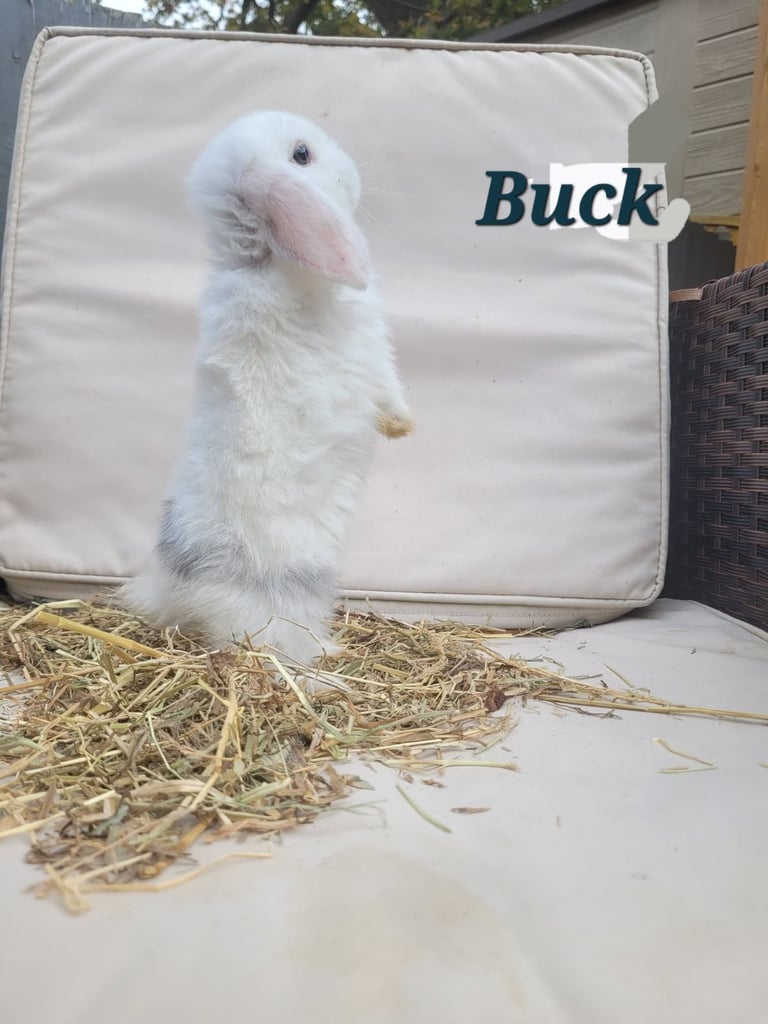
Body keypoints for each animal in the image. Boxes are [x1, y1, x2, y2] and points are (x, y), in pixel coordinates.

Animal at [119, 111, 412, 664]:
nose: (354, 173)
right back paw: (325, 661)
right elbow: (390, 390)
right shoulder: (375, 358)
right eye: (301, 155)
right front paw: (402, 427)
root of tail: (188, 584)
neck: (263, 261)